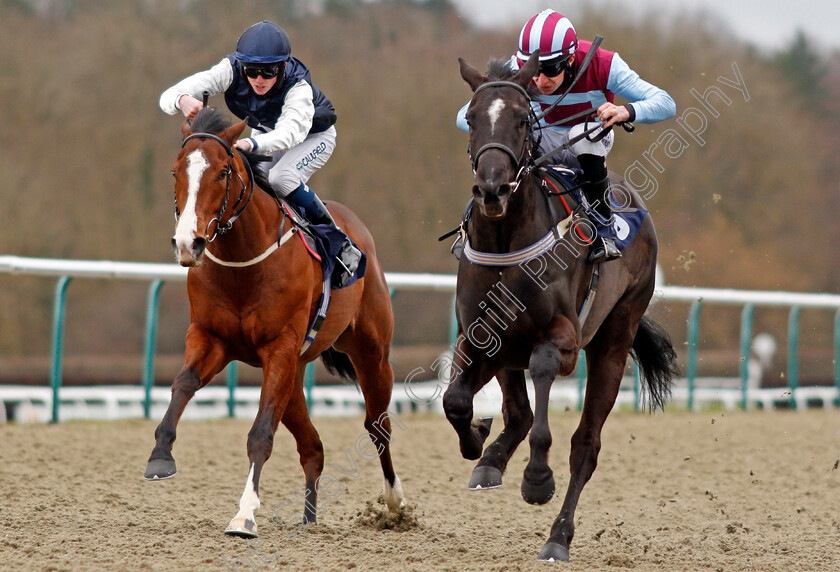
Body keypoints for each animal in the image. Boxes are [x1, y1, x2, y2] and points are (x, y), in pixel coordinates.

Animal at [144, 107, 406, 536]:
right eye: (175, 171)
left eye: (222, 172)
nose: (188, 243)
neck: (242, 262)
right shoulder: (211, 337)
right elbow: (182, 384)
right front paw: (160, 455)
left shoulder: (279, 347)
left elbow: (261, 434)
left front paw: (245, 514)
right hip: (294, 377)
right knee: (313, 447)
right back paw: (309, 520)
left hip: (371, 354)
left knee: (377, 426)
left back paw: (395, 502)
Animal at [442, 54, 680, 564]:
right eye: (472, 117)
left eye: (521, 118)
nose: (491, 190)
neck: (506, 239)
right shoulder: (478, 335)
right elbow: (456, 401)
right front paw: (478, 443)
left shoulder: (563, 340)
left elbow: (545, 378)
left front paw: (537, 479)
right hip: (508, 348)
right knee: (517, 412)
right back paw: (492, 460)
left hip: (614, 338)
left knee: (584, 446)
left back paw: (558, 536)